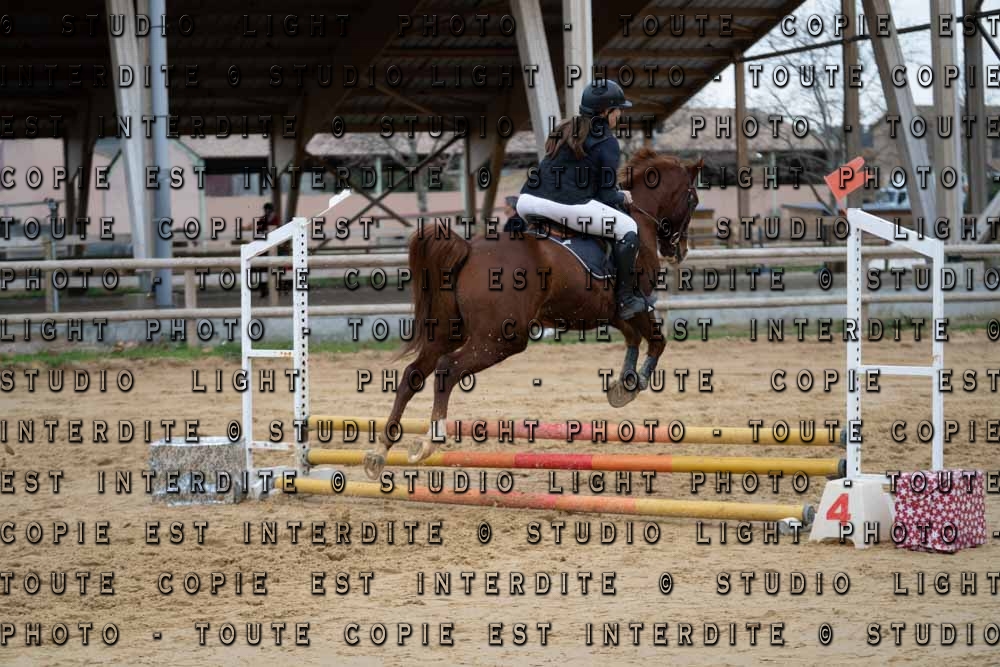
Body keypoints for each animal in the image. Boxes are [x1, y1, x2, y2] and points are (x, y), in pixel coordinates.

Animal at [361, 148, 702, 478]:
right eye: (693, 200)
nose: (680, 250)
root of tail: (469, 250)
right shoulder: (637, 303)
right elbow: (657, 341)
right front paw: (635, 383)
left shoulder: (614, 312)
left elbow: (634, 338)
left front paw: (623, 385)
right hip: (501, 339)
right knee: (448, 369)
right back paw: (430, 441)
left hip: (448, 330)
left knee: (413, 374)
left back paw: (380, 452)